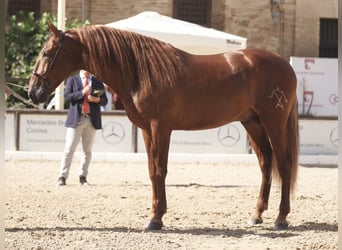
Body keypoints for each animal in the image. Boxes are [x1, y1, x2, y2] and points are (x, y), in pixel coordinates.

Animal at [28, 23, 298, 230]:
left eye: (47, 53)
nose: (33, 92)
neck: (142, 72)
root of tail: (285, 64)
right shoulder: (147, 130)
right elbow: (151, 171)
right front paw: (155, 214)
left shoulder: (161, 128)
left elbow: (160, 170)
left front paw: (156, 219)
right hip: (252, 123)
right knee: (266, 164)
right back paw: (257, 214)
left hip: (273, 122)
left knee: (283, 164)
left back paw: (281, 218)